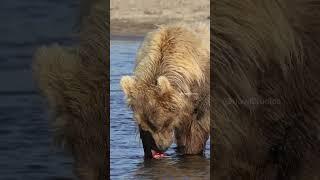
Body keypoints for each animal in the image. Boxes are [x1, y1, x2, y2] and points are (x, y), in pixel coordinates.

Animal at [120, 22, 210, 158]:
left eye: (162, 123)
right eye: (145, 125)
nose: (159, 147)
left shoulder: (201, 96)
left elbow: (196, 129)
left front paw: (190, 151)